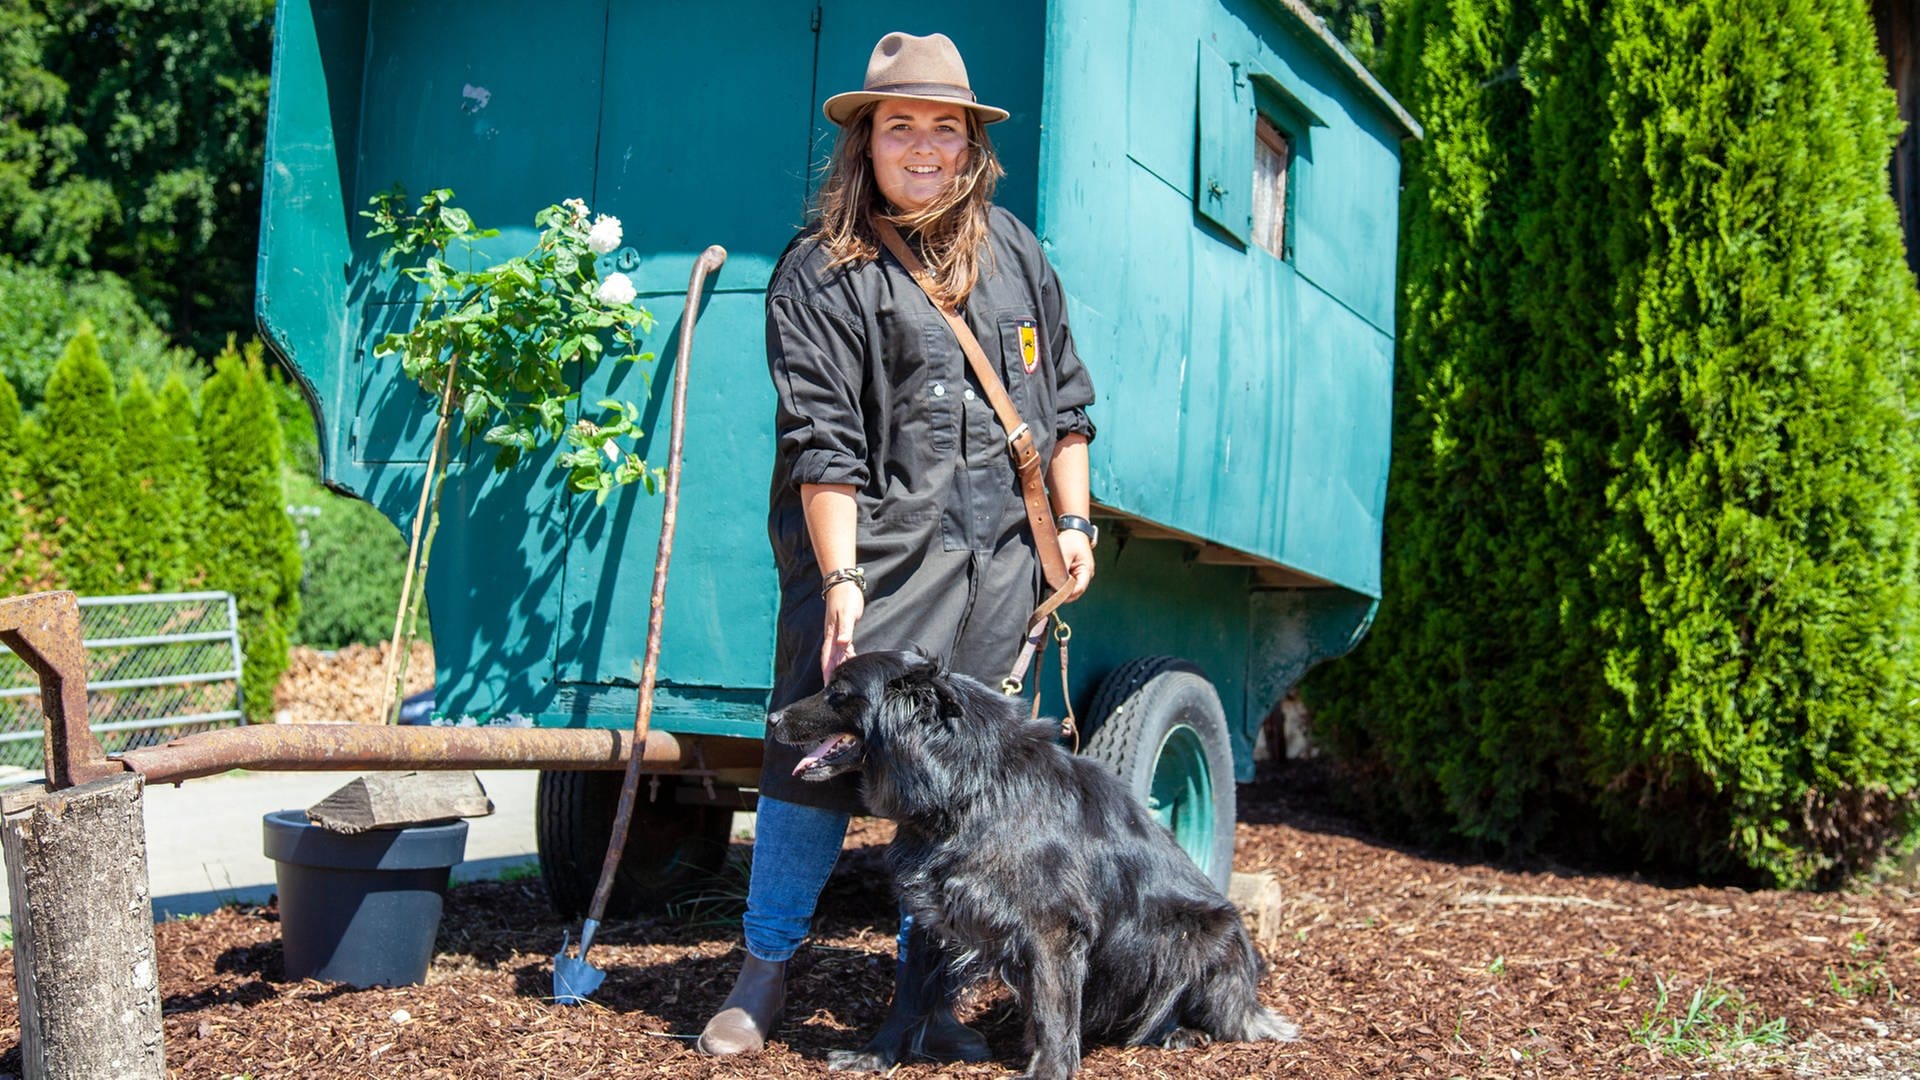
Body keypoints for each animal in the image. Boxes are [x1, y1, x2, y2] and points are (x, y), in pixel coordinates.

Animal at [760, 645, 1290, 1076]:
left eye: (837, 692)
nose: (772, 718)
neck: (969, 787)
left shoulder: (1053, 928)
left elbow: (1054, 1010)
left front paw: (1049, 1071)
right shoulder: (932, 909)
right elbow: (907, 994)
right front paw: (875, 1056)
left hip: (1194, 934)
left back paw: (1178, 1032)